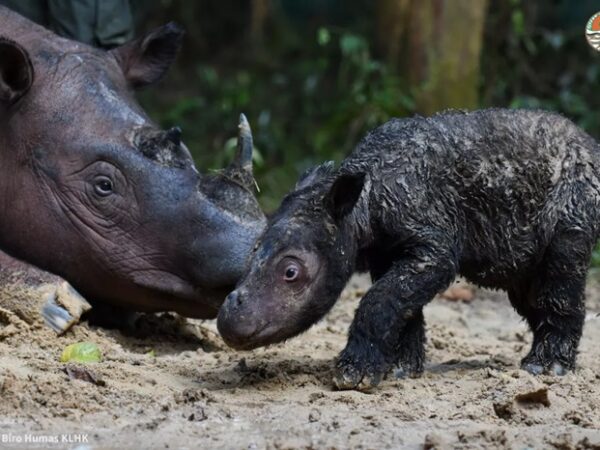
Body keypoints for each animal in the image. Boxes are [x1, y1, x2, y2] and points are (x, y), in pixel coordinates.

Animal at [217, 109, 600, 390]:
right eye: (251, 252)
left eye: (291, 272)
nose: (229, 321)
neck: (361, 204)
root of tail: (593, 145)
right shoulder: (387, 252)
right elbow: (400, 304)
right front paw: (400, 370)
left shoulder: (433, 246)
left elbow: (379, 300)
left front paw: (354, 376)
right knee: (527, 287)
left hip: (577, 198)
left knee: (560, 271)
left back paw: (545, 369)